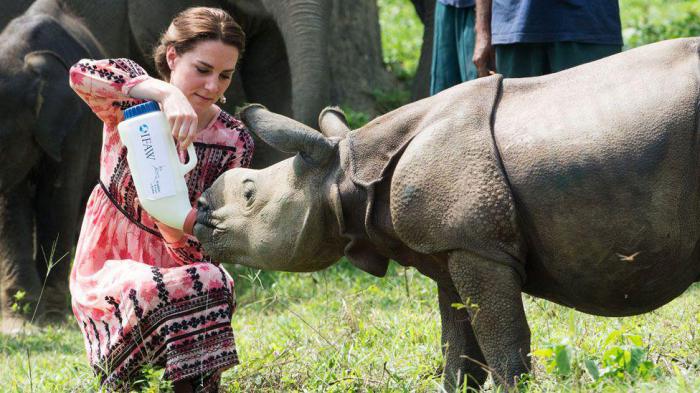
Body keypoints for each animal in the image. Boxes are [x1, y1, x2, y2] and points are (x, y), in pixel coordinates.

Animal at [194, 37, 700, 388]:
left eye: (249, 193)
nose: (197, 210)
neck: (345, 173)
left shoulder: (477, 245)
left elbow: (501, 340)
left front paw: (517, 387)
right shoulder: (448, 247)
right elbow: (459, 346)